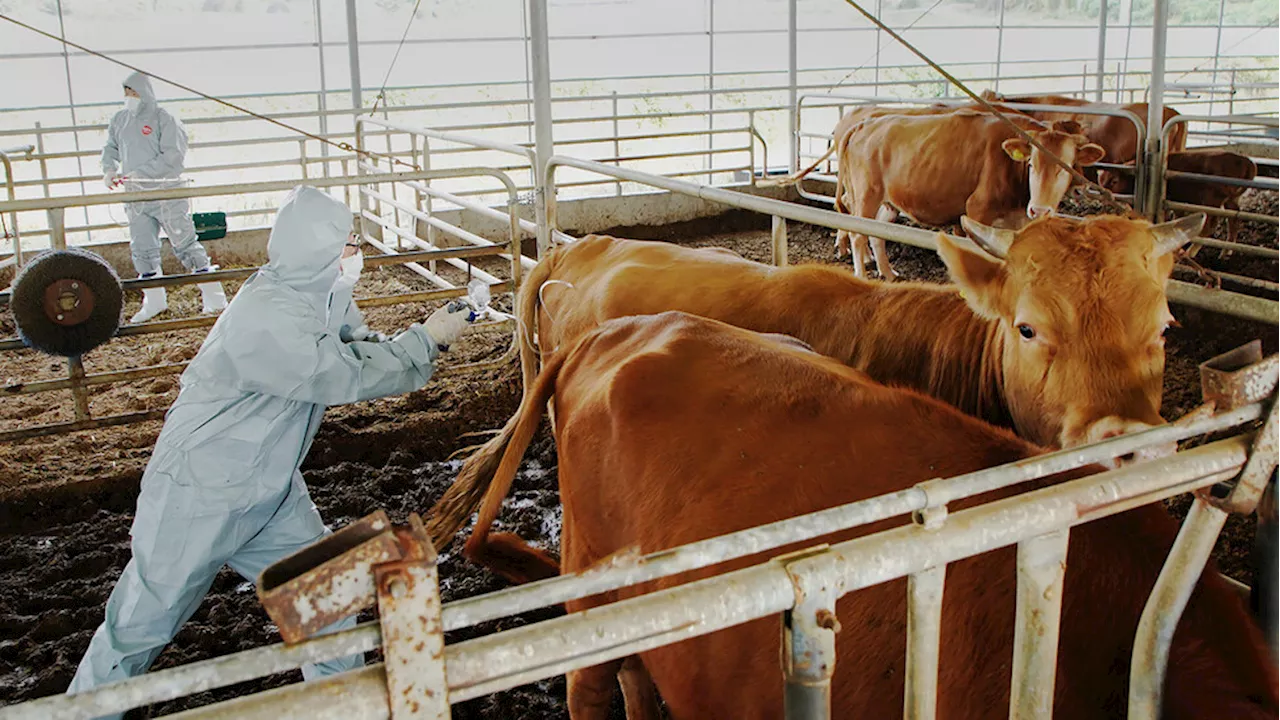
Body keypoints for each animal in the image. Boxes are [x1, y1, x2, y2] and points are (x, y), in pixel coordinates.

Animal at [834, 112, 1105, 280]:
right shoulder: (977, 211)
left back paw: (888, 273)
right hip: (867, 194)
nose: (1039, 210)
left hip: (889, 201)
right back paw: (862, 275)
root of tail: (867, 122)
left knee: (877, 233)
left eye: (1066, 166)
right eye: (1031, 164)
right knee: (858, 234)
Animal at [1095, 148, 1254, 243]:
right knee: (1234, 219)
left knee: (1210, 225)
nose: (1103, 196)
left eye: (1114, 180)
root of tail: (1245, 160)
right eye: (1101, 180)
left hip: (1212, 201)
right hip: (1231, 200)